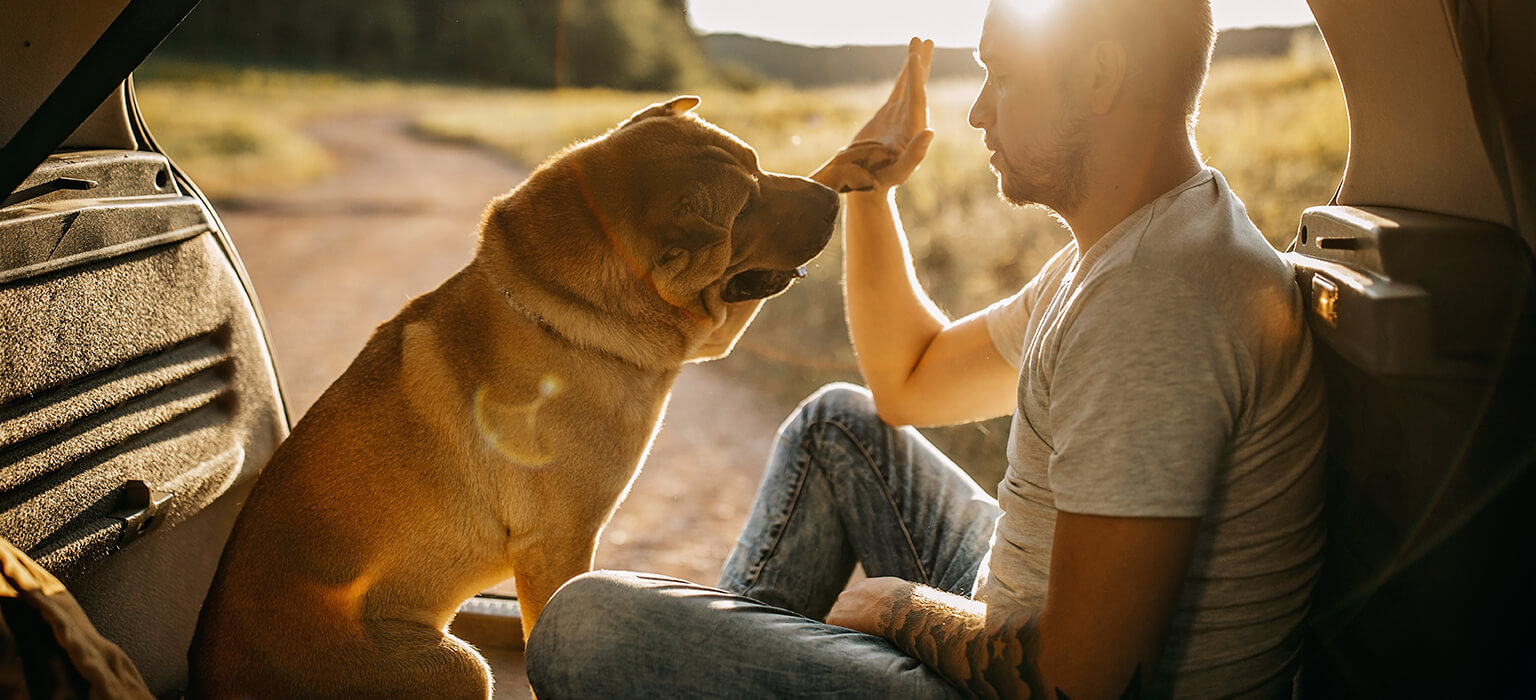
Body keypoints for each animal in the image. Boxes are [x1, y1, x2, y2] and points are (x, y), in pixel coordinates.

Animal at [192, 95, 841, 696]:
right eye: (745, 209)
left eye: (759, 164)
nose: (834, 198)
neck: (560, 316)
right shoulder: (559, 546)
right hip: (456, 665)